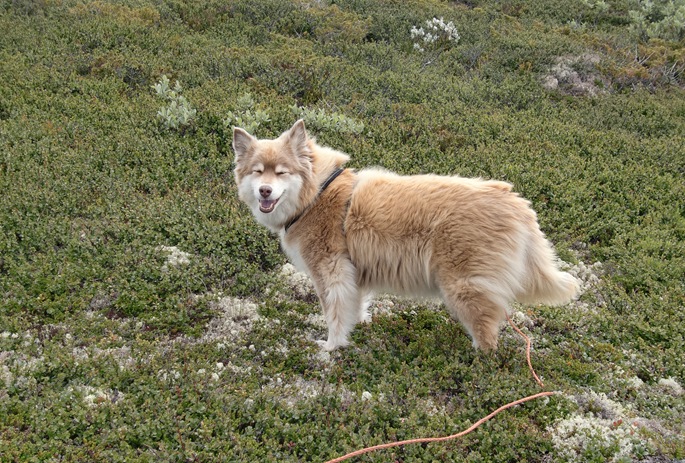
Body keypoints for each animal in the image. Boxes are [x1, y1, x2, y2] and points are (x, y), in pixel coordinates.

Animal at [232, 119, 580, 352]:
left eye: (281, 172)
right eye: (257, 172)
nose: (265, 191)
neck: (316, 194)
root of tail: (517, 203)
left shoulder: (330, 272)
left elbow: (334, 315)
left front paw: (331, 347)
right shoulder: (353, 273)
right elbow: (355, 306)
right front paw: (355, 328)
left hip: (462, 287)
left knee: (487, 334)